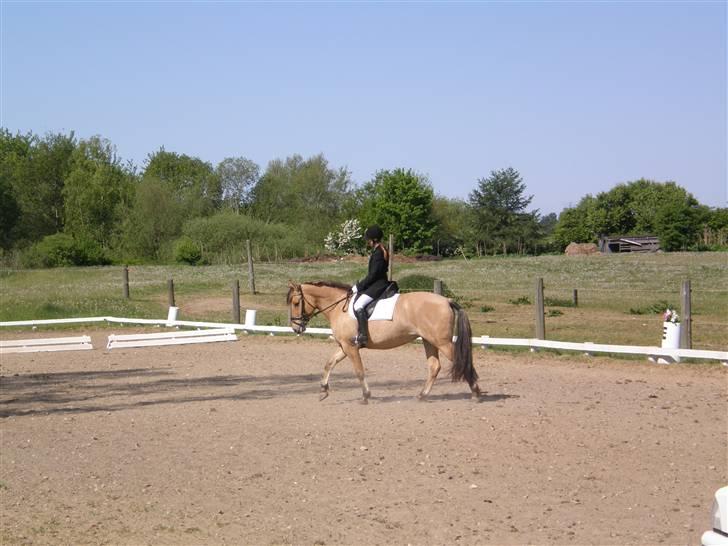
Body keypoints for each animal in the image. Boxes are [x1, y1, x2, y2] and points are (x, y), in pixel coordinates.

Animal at [286, 282, 484, 402]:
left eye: (296, 303)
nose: (296, 328)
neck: (338, 306)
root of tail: (446, 301)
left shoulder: (350, 346)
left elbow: (359, 371)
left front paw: (366, 395)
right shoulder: (344, 346)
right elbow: (329, 364)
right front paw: (323, 390)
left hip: (442, 342)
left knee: (460, 362)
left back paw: (476, 394)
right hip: (429, 341)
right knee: (434, 366)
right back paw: (422, 395)